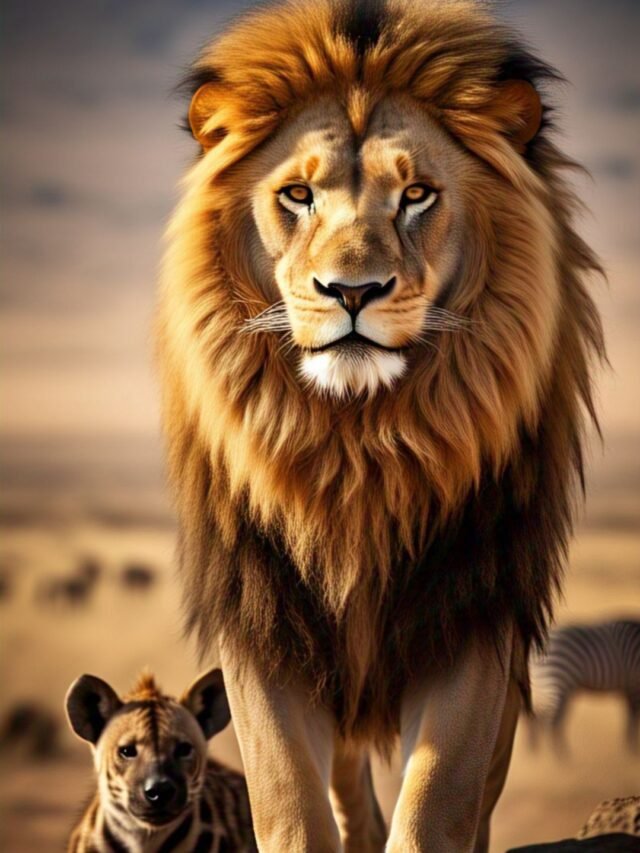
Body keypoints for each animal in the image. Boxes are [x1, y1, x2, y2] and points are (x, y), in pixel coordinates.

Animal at [157, 0, 604, 850]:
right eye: (297, 194)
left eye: (418, 194)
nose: (352, 290)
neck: (358, 445)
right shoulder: (262, 615)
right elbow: (292, 799)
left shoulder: (476, 612)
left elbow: (437, 798)